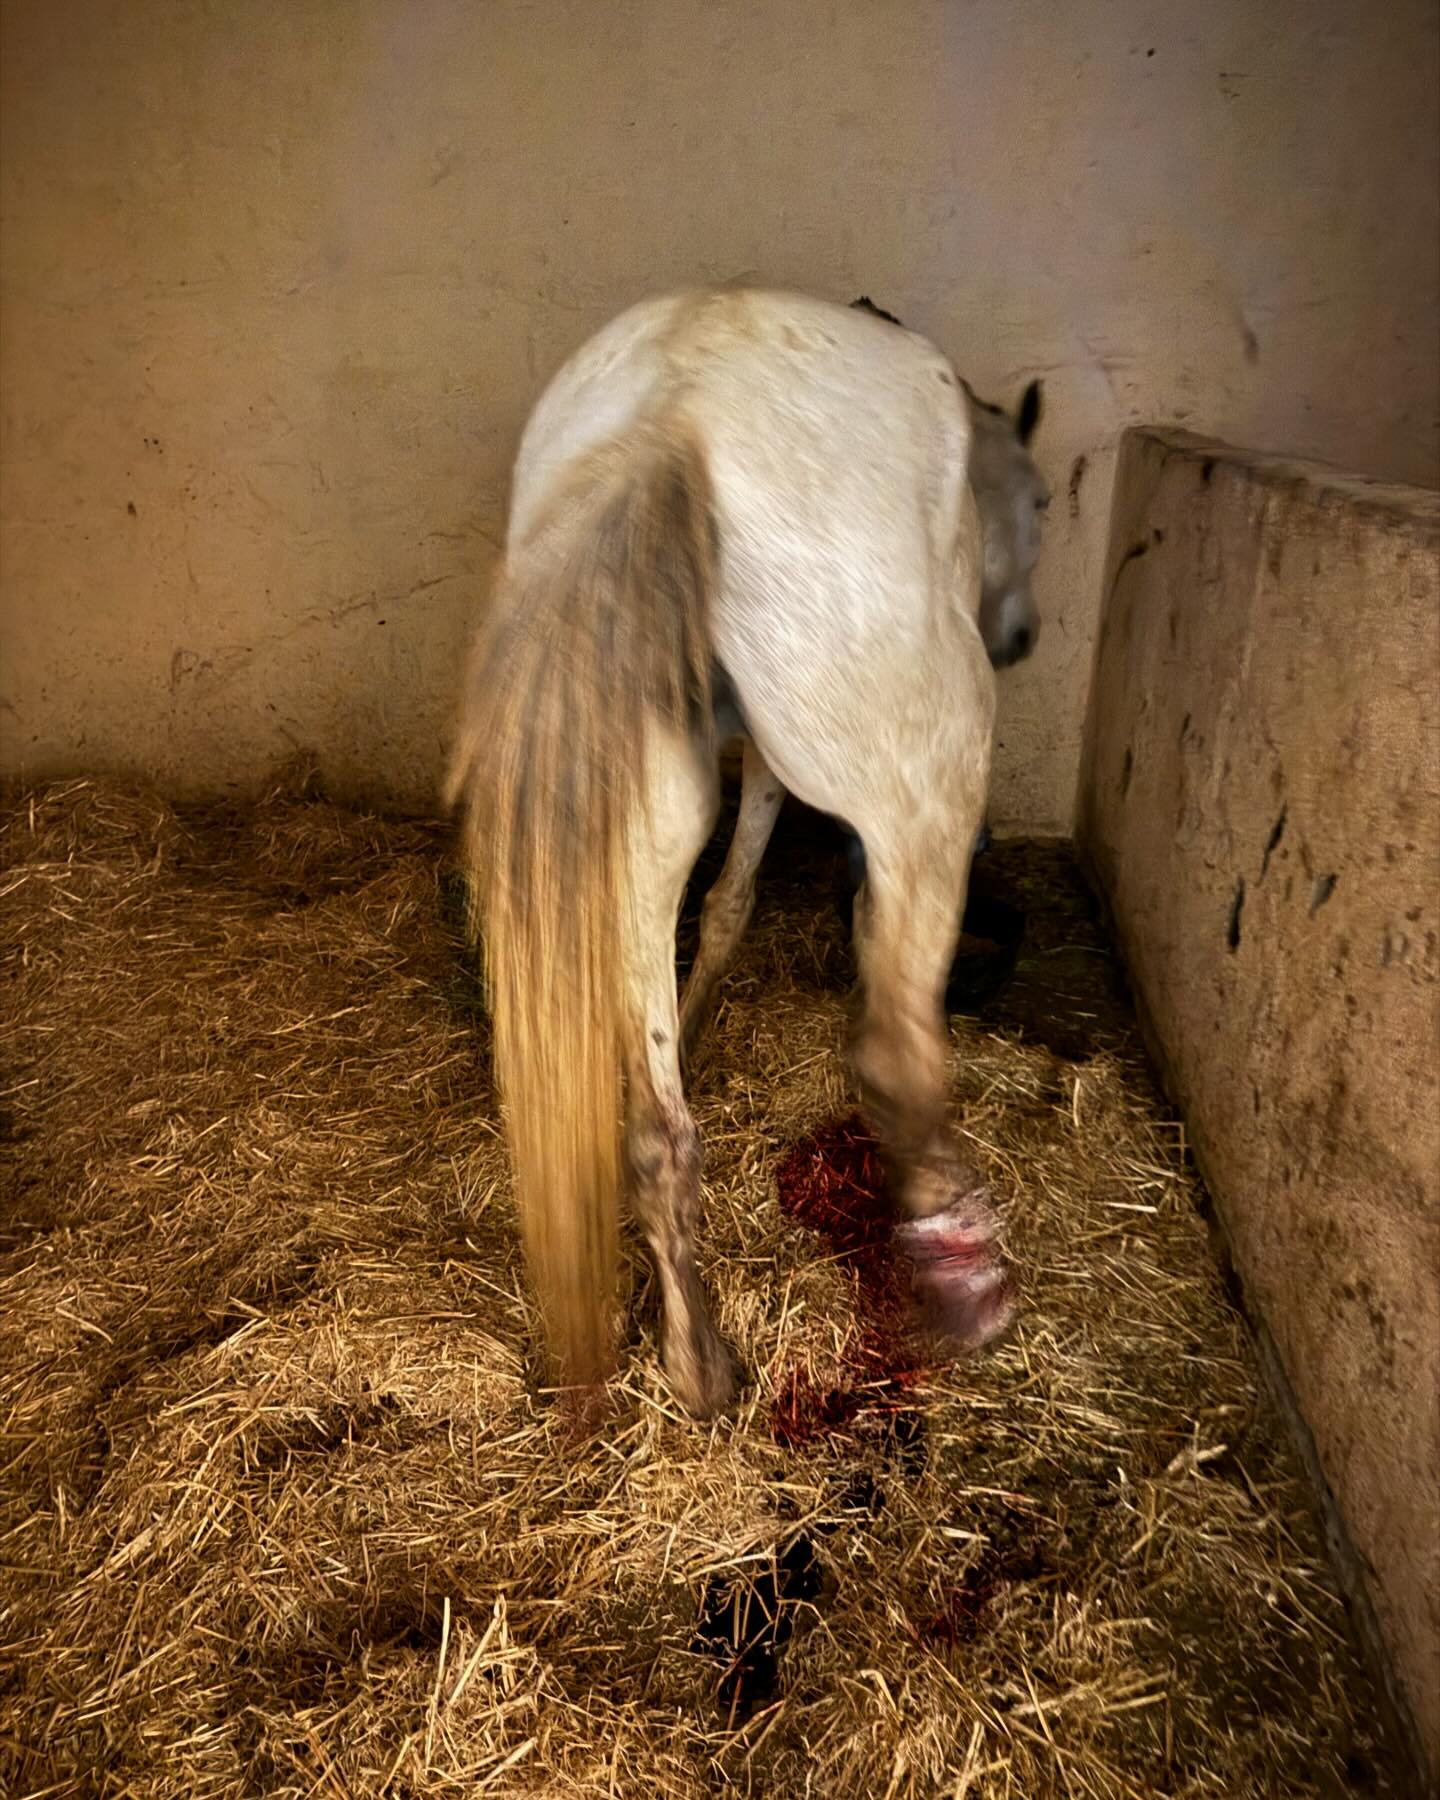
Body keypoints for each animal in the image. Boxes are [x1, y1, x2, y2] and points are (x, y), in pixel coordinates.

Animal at [450, 288, 1044, 1411]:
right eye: (1040, 499)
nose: (1022, 635)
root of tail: (670, 412)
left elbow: (717, 915)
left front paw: (694, 1024)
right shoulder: (785, 761)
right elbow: (750, 893)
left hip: (641, 802)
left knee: (658, 1136)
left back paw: (699, 1363)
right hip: (929, 771)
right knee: (895, 1052)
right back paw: (964, 1275)